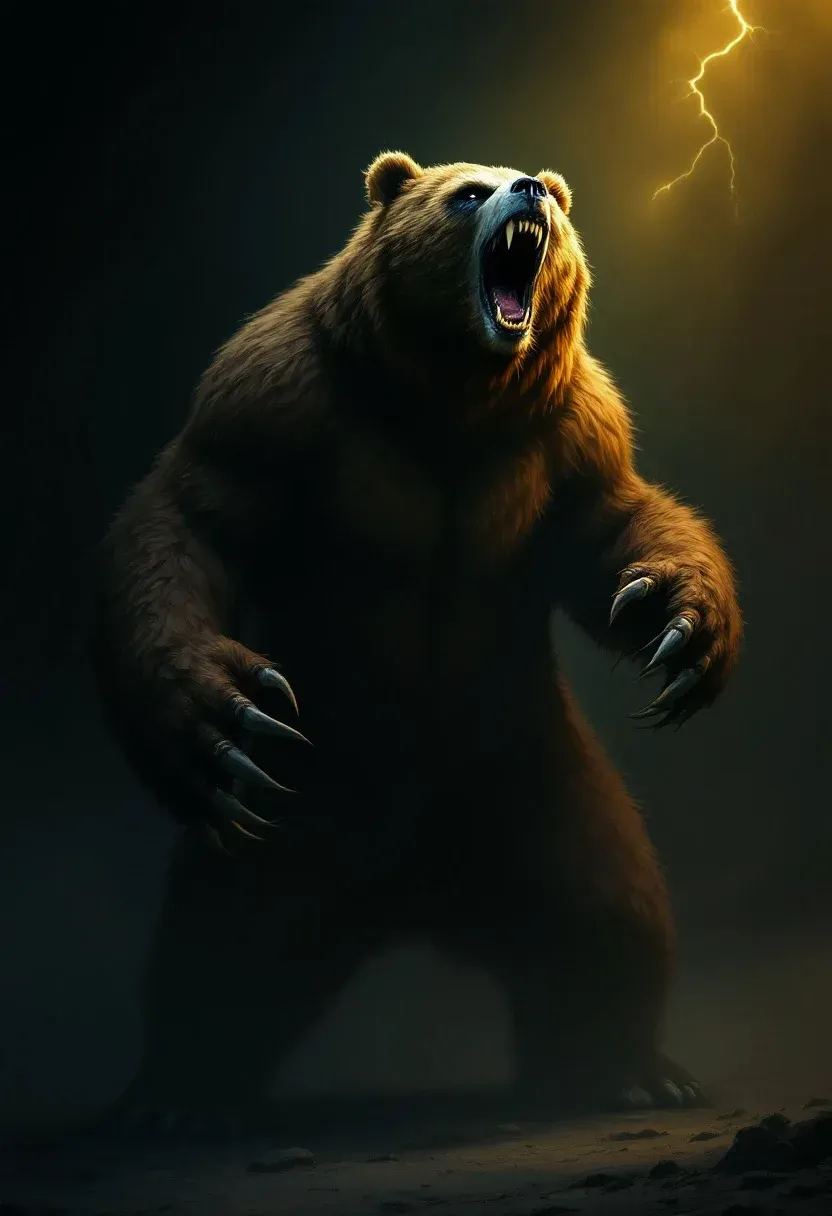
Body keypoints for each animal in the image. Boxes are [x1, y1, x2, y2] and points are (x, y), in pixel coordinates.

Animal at [92, 151, 742, 1135]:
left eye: (540, 189)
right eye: (467, 192)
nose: (531, 189)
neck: (452, 403)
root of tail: (416, 893)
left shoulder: (568, 430)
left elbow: (614, 525)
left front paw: (682, 630)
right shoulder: (277, 398)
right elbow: (195, 518)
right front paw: (221, 716)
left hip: (531, 784)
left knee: (609, 907)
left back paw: (629, 1069)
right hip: (305, 811)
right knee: (220, 943)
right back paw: (174, 1091)